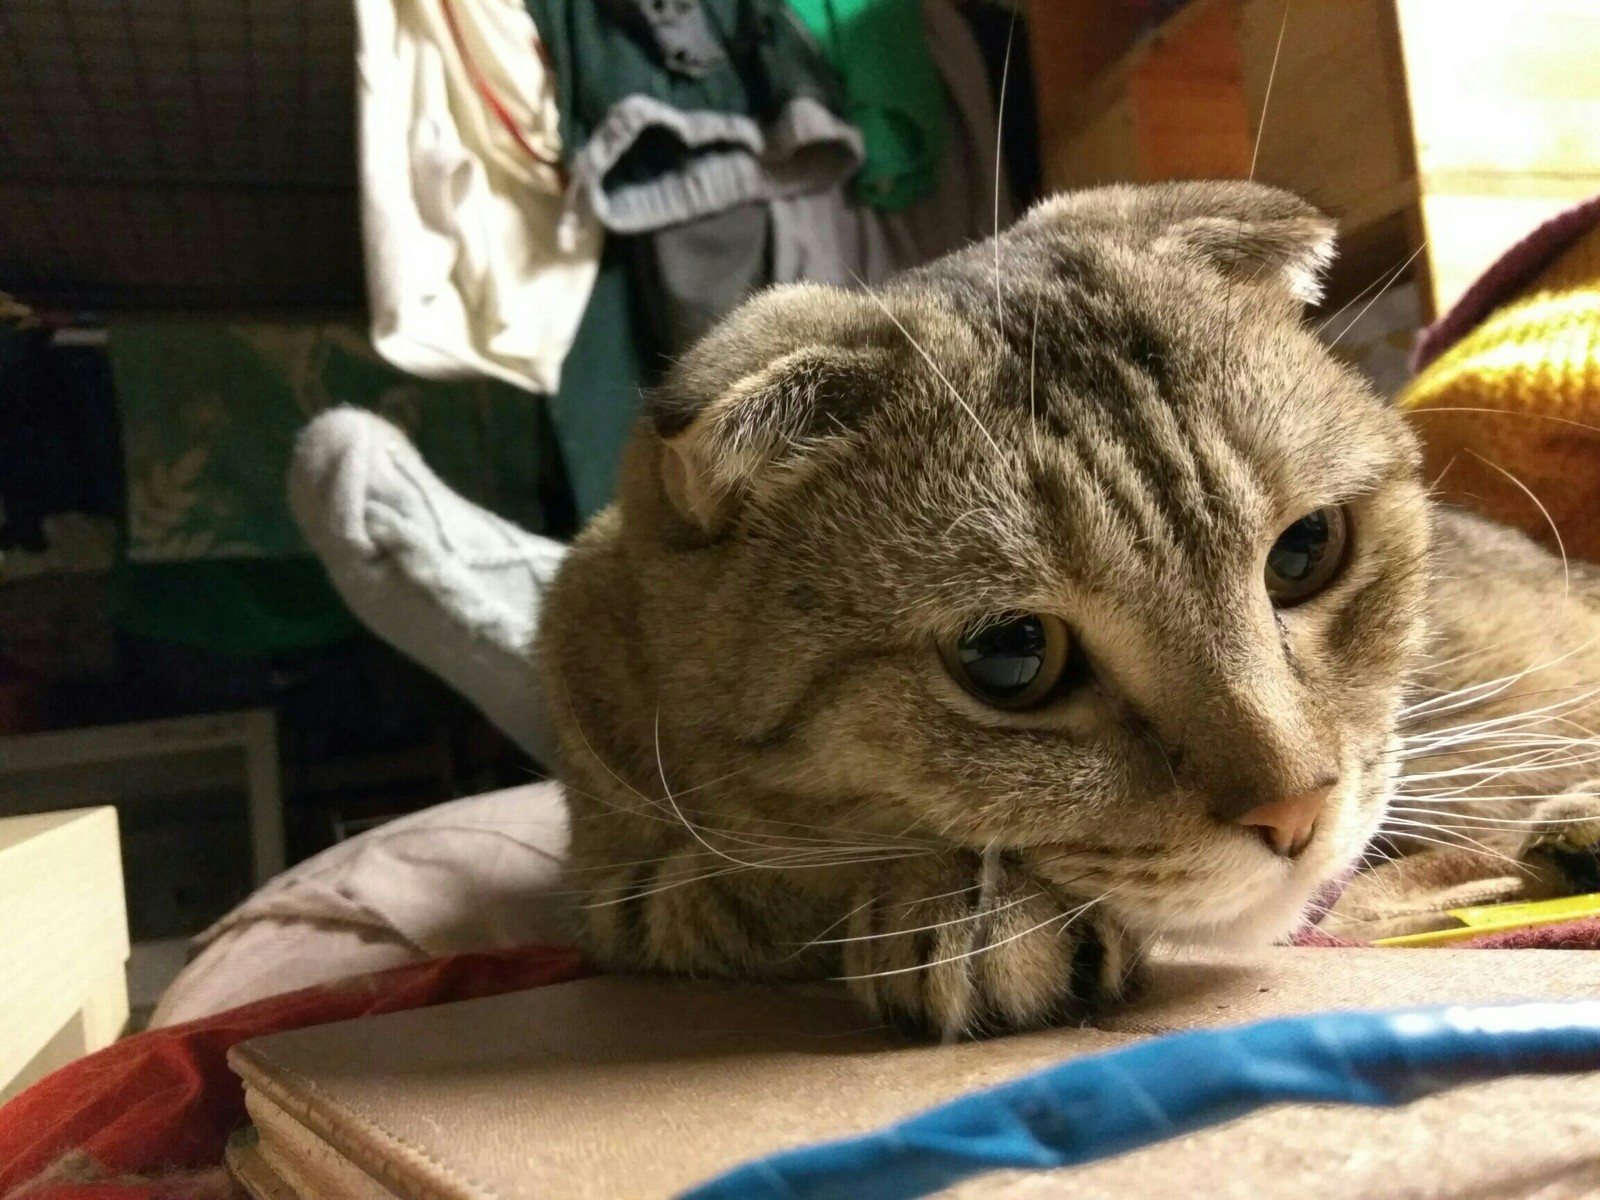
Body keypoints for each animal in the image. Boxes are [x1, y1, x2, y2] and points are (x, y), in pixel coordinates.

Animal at [540, 180, 1600, 1043]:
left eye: (1305, 550)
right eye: (1012, 656)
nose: (1297, 811)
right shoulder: (610, 862)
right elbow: (708, 892)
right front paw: (959, 908)